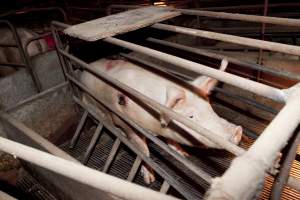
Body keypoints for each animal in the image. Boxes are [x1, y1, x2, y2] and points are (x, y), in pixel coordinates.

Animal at [80, 58, 244, 184]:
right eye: (190, 116)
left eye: (209, 106)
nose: (237, 131)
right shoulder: (128, 124)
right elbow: (143, 150)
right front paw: (149, 179)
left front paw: (183, 155)